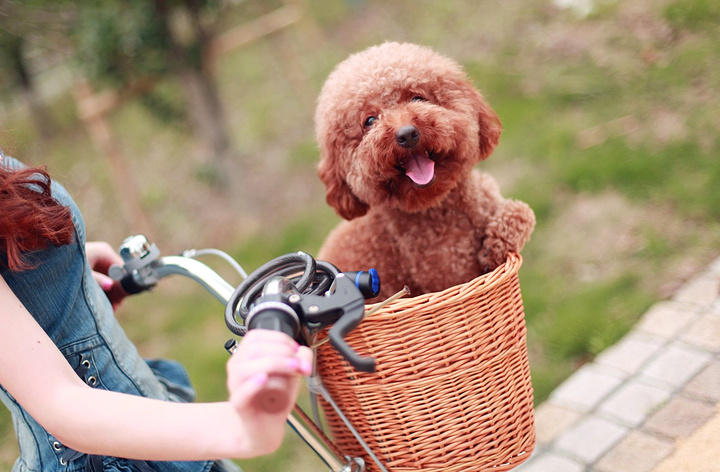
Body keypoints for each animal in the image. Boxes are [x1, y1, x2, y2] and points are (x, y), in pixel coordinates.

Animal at [316, 41, 536, 298]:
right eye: (370, 121)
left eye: (418, 98)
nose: (407, 134)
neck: (446, 208)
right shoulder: (454, 277)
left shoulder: (492, 200)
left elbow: (523, 211)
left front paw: (494, 245)